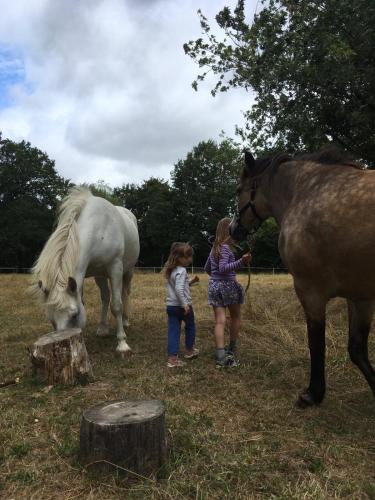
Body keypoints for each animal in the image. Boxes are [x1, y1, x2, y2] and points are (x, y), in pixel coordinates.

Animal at [31, 188, 140, 356]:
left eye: (74, 315)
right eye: (51, 319)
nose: (62, 345)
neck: (99, 229)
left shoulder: (115, 267)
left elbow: (116, 305)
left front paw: (122, 344)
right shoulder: (82, 277)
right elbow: (91, 300)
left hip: (128, 271)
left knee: (125, 294)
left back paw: (126, 322)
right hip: (100, 276)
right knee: (105, 297)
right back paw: (103, 329)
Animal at [231, 147, 375, 406]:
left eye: (239, 190)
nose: (233, 229)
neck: (304, 192)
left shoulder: (310, 291)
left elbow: (316, 342)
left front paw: (313, 393)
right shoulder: (360, 295)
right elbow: (357, 349)